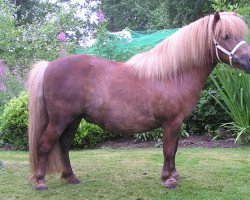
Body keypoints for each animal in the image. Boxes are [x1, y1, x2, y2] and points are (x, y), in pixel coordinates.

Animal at [27, 12, 250, 191]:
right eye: (225, 36)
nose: (248, 61)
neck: (173, 75)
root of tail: (49, 65)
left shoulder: (178, 123)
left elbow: (175, 149)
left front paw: (174, 175)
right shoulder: (171, 122)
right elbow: (168, 150)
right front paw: (168, 180)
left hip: (73, 120)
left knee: (64, 146)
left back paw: (71, 177)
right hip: (60, 120)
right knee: (45, 145)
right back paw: (40, 182)